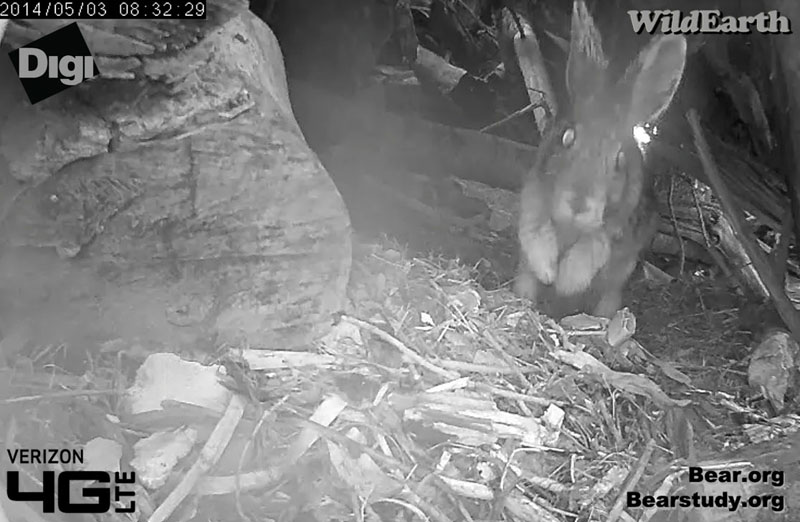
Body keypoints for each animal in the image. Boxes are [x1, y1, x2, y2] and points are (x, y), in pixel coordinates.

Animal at [514, 0, 687, 319]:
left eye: (619, 158)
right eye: (568, 137)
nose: (578, 204)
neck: (571, 226)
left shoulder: (614, 232)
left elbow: (591, 250)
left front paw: (565, 282)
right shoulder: (533, 202)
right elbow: (536, 235)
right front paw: (549, 274)